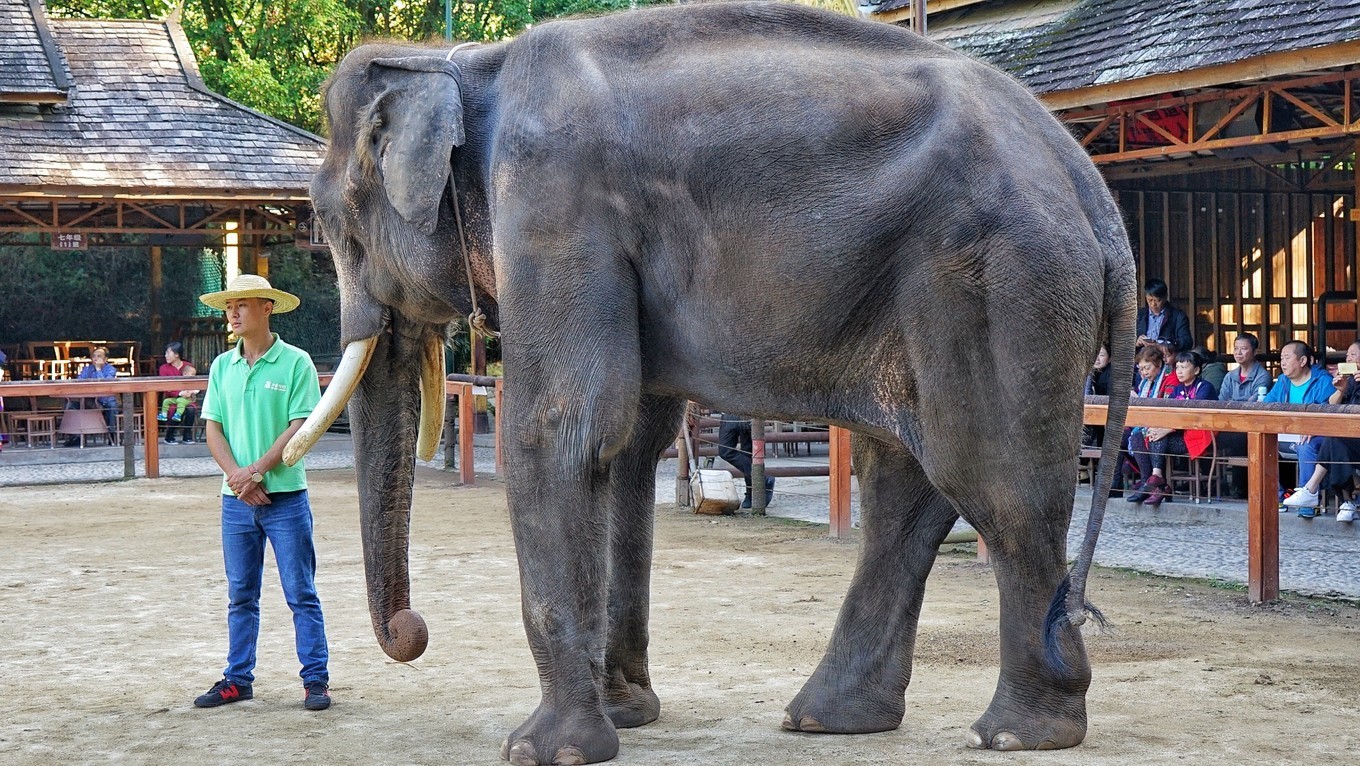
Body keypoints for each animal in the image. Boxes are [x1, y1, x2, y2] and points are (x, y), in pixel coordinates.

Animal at [286, 2, 1136, 761]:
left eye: (339, 223)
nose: (413, 633)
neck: (462, 67)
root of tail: (1087, 181)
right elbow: (630, 443)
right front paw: (626, 717)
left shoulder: (555, 208)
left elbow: (561, 427)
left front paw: (546, 750)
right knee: (908, 479)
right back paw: (829, 719)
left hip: (997, 277)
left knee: (994, 482)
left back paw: (1018, 733)